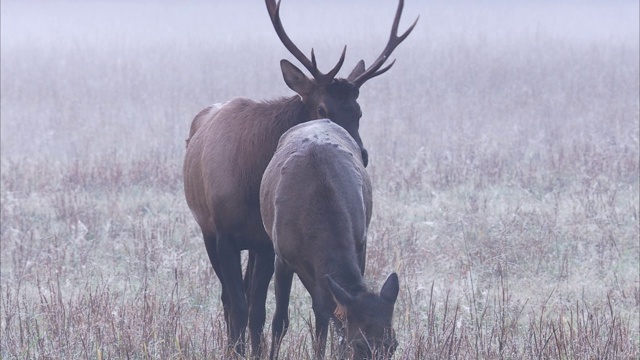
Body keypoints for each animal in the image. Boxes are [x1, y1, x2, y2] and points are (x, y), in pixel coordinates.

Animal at [260, 119, 400, 358]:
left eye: (393, 345)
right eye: (360, 344)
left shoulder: (360, 243)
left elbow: (326, 316)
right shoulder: (282, 257)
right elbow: (280, 321)